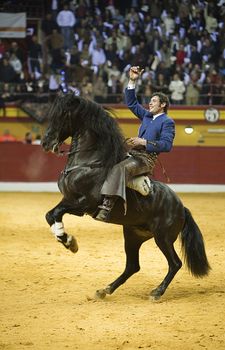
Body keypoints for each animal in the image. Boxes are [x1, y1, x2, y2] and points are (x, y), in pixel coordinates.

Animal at [41, 91, 211, 300]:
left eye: (63, 114)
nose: (45, 143)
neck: (89, 162)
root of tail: (181, 206)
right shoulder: (68, 200)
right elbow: (50, 214)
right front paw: (64, 239)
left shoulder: (82, 203)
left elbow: (55, 213)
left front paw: (69, 242)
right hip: (133, 235)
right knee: (133, 266)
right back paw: (104, 290)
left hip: (163, 237)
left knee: (175, 263)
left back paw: (156, 292)